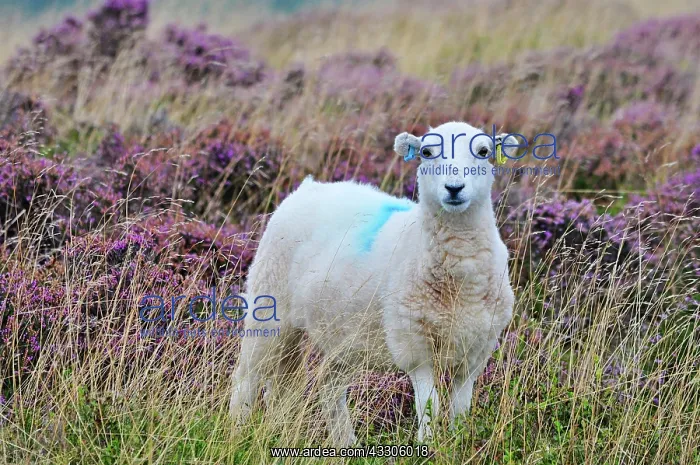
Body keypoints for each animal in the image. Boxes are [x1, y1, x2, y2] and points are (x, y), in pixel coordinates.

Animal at [229, 121, 515, 445]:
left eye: (484, 151)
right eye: (427, 153)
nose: (454, 188)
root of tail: (309, 187)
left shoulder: (475, 351)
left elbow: (459, 412)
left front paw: (457, 444)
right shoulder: (414, 347)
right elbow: (429, 408)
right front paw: (428, 447)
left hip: (345, 334)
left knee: (325, 384)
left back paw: (341, 441)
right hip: (269, 304)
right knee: (247, 375)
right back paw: (237, 431)